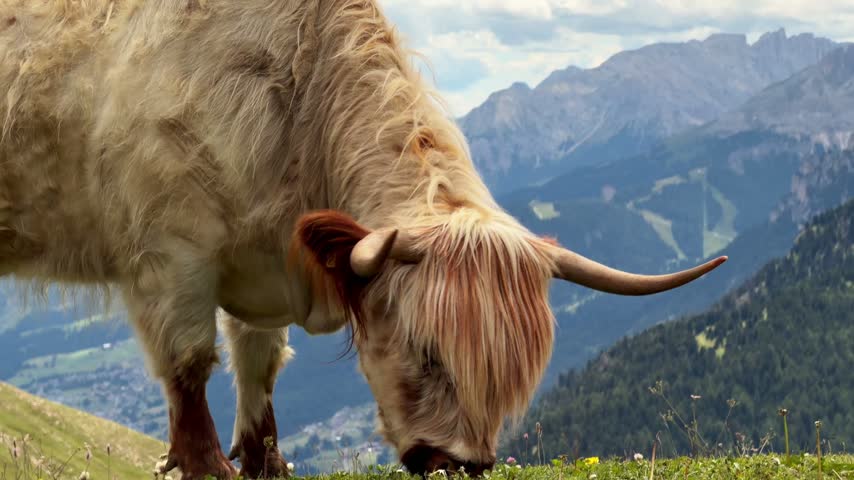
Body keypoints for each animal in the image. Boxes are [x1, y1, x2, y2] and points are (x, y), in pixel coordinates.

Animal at [0, 1, 726, 479]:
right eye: (426, 352)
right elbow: (190, 370)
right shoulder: (169, 258)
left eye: (513, 377)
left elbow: (258, 374)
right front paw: (208, 467)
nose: (461, 464)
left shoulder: (257, 277)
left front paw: (267, 465)